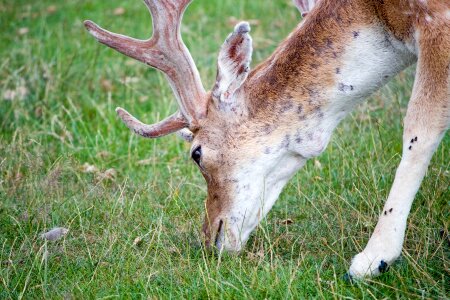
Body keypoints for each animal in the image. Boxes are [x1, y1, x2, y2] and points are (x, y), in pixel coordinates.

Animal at [85, 0, 450, 278]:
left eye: (197, 154)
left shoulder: (436, 20)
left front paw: (373, 258)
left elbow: (419, 127)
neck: (381, 14)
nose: (210, 239)